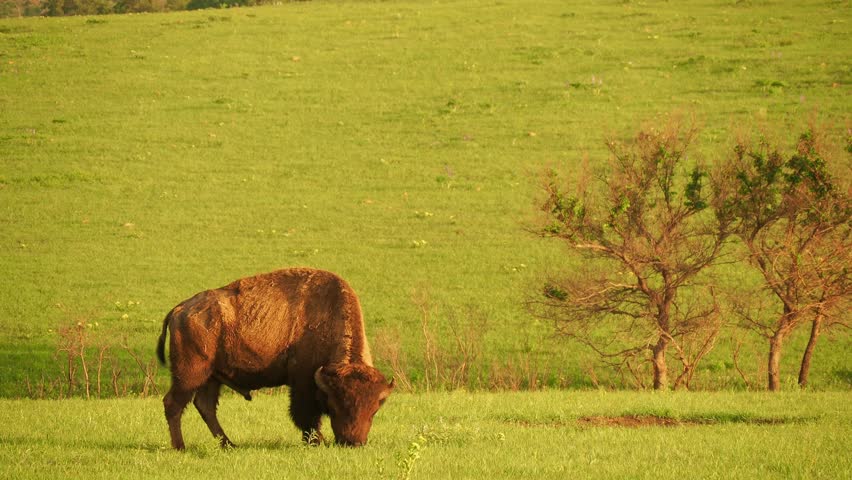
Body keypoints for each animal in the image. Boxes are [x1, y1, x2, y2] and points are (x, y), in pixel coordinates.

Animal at [156, 268, 394, 449]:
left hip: (211, 377)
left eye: (374, 410)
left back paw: (229, 445)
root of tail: (180, 309)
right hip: (189, 375)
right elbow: (305, 415)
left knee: (205, 406)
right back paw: (181, 447)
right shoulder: (302, 382)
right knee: (173, 404)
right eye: (335, 406)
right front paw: (317, 442)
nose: (353, 442)